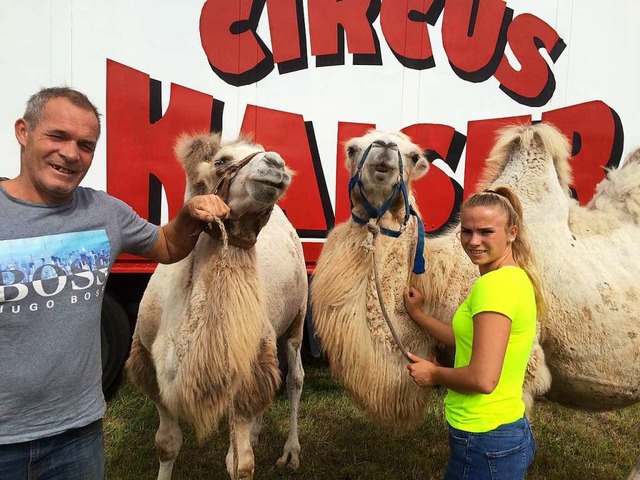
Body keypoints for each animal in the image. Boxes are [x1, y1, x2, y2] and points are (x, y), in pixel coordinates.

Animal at [125, 133, 308, 480]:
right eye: (221, 160)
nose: (277, 164)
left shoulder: (246, 371)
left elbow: (241, 464)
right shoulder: (149, 368)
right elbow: (166, 444)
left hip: (298, 318)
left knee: (294, 377)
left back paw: (291, 452)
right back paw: (258, 433)